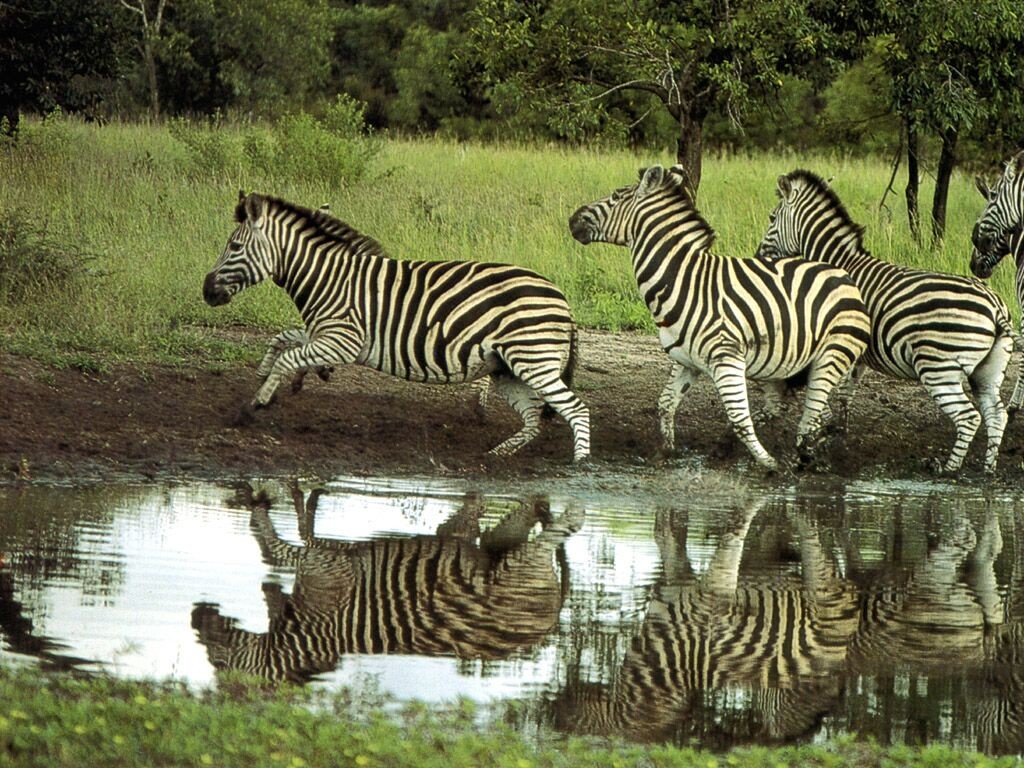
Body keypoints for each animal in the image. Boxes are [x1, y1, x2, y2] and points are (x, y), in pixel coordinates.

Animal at [191, 484, 582, 682]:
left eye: (219, 665)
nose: (195, 616)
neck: (306, 633)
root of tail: (549, 624)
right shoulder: (328, 561)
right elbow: (279, 549)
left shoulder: (327, 565)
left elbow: (277, 549)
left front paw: (262, 498)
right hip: (501, 548)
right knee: (527, 514)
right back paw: (543, 507)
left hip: (522, 564)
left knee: (559, 531)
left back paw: (568, 514)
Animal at [203, 191, 591, 461]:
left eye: (233, 246)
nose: (206, 291)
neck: (328, 278)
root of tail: (562, 298)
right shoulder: (326, 332)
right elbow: (283, 339)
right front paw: (278, 374)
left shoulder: (344, 339)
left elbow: (288, 355)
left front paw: (256, 403)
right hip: (506, 369)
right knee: (533, 421)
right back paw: (496, 456)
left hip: (532, 361)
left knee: (576, 410)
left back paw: (578, 468)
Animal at [568, 165, 870, 471]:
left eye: (616, 196)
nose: (572, 219)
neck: (684, 281)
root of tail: (844, 276)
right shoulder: (685, 361)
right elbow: (665, 403)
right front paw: (664, 452)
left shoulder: (727, 359)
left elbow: (739, 419)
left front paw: (769, 464)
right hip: (791, 364)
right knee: (808, 413)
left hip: (831, 356)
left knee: (810, 417)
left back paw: (805, 459)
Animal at [755, 169, 1016, 474]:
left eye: (772, 218)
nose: (758, 255)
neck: (838, 264)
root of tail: (996, 306)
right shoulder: (856, 353)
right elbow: (845, 393)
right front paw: (837, 433)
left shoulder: (835, 338)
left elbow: (829, 389)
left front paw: (820, 430)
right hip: (987, 370)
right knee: (996, 414)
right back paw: (988, 468)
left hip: (938, 367)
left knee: (968, 417)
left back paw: (948, 468)